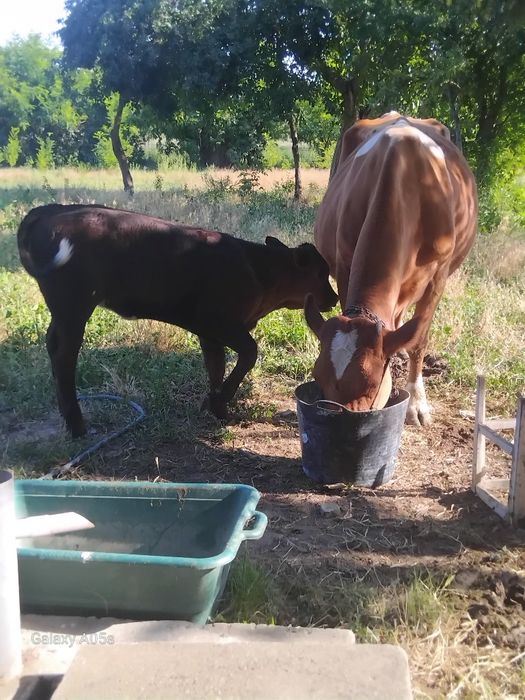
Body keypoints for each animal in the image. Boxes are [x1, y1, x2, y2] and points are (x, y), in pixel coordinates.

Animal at [17, 203, 337, 437]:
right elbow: (249, 353)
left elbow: (216, 367)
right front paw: (222, 402)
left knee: (52, 345)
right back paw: (77, 426)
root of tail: (50, 210)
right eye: (322, 273)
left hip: (63, 311)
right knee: (64, 355)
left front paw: (216, 407)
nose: (334, 299)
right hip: (74, 306)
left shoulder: (210, 333)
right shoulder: (219, 322)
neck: (258, 271)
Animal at [304, 112, 477, 426]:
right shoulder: (345, 264)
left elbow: (419, 339)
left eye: (371, 383)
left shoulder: (439, 275)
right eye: (317, 376)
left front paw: (416, 404)